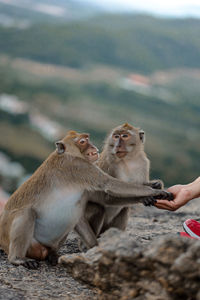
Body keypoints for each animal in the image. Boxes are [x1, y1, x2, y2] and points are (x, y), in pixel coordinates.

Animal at [0, 130, 172, 268]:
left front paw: (152, 190)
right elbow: (109, 185)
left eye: (87, 139)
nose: (93, 147)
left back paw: (53, 255)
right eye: (82, 142)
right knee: (27, 213)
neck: (71, 154)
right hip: (20, 242)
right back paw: (18, 259)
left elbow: (105, 198)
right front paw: (155, 193)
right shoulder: (79, 167)